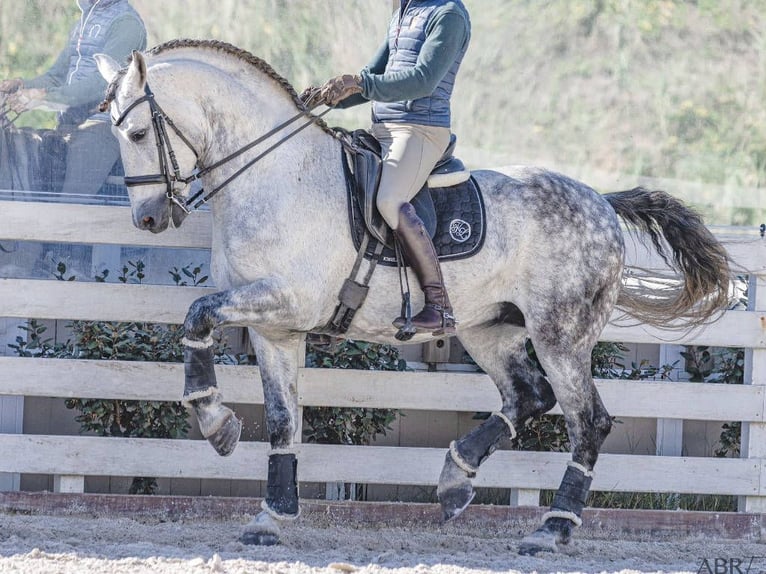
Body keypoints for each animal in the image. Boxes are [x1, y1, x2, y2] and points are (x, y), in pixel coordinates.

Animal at [94, 39, 732, 552]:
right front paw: (269, 516)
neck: (273, 174)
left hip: (562, 335)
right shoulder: (275, 327)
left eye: (138, 132)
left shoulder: (284, 301)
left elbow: (196, 315)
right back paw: (454, 480)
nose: (149, 218)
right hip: (490, 329)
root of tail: (602, 201)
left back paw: (550, 530)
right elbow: (281, 420)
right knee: (527, 397)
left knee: (587, 421)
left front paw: (213, 420)